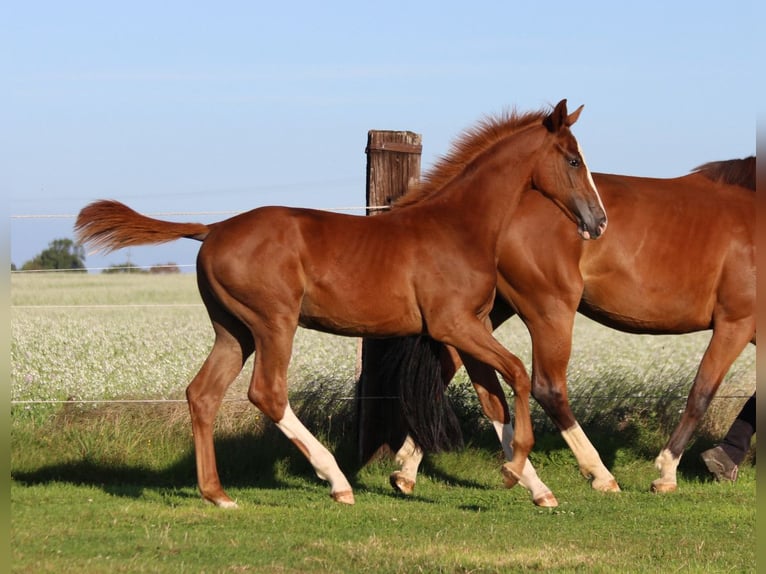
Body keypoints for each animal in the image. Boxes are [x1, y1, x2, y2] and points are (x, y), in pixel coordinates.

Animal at [74, 99, 607, 508]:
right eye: (573, 160)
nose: (598, 221)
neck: (459, 227)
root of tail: (214, 228)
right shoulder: (452, 326)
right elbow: (518, 373)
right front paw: (518, 468)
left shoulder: (470, 328)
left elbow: (494, 399)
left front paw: (536, 487)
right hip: (273, 323)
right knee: (266, 393)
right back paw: (337, 482)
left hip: (234, 330)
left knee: (202, 394)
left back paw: (218, 495)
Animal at [358, 156, 754, 507]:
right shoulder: (736, 322)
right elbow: (702, 394)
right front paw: (669, 472)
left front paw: (721, 461)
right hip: (547, 309)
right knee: (546, 387)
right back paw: (597, 475)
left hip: (478, 310)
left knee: (452, 369)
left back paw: (407, 470)